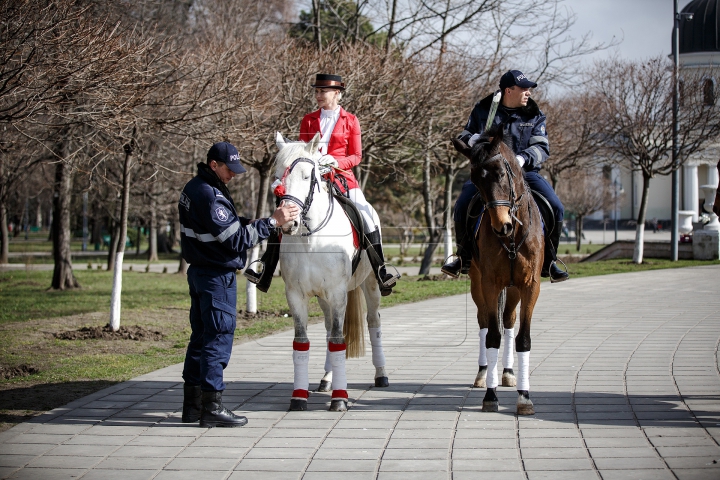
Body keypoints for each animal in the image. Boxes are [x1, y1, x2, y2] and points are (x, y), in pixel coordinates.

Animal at [274, 132, 388, 412]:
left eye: (307, 176)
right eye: (279, 174)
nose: (288, 222)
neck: (311, 238)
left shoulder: (338, 293)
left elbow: (338, 340)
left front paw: (339, 399)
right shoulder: (296, 295)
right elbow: (302, 342)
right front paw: (298, 398)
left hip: (370, 284)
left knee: (373, 322)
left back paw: (381, 375)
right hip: (323, 298)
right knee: (327, 329)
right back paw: (327, 378)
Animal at [452, 129, 544, 414]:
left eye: (501, 174)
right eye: (475, 180)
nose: (501, 225)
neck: (513, 237)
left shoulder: (530, 285)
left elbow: (522, 338)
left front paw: (524, 397)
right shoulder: (490, 283)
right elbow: (492, 335)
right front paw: (490, 396)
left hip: (513, 288)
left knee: (509, 320)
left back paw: (508, 372)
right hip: (478, 284)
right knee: (485, 321)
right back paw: (484, 374)